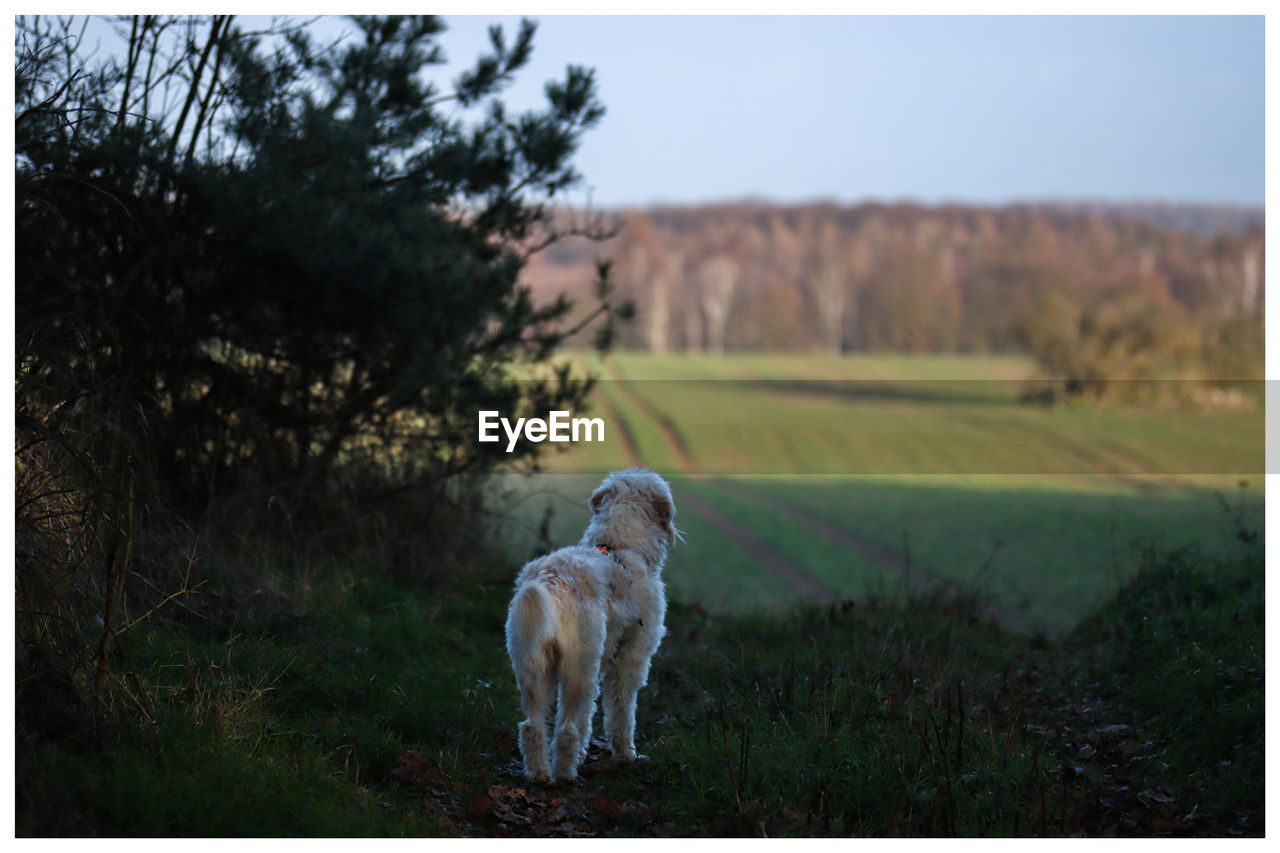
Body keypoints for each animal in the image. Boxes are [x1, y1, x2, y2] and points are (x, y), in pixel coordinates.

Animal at [501, 468, 675, 778]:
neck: (622, 547)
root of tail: (551, 582)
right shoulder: (630, 661)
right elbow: (621, 714)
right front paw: (626, 755)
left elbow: (587, 718)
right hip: (577, 669)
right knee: (565, 730)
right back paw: (565, 775)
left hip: (532, 667)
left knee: (532, 727)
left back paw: (540, 775)